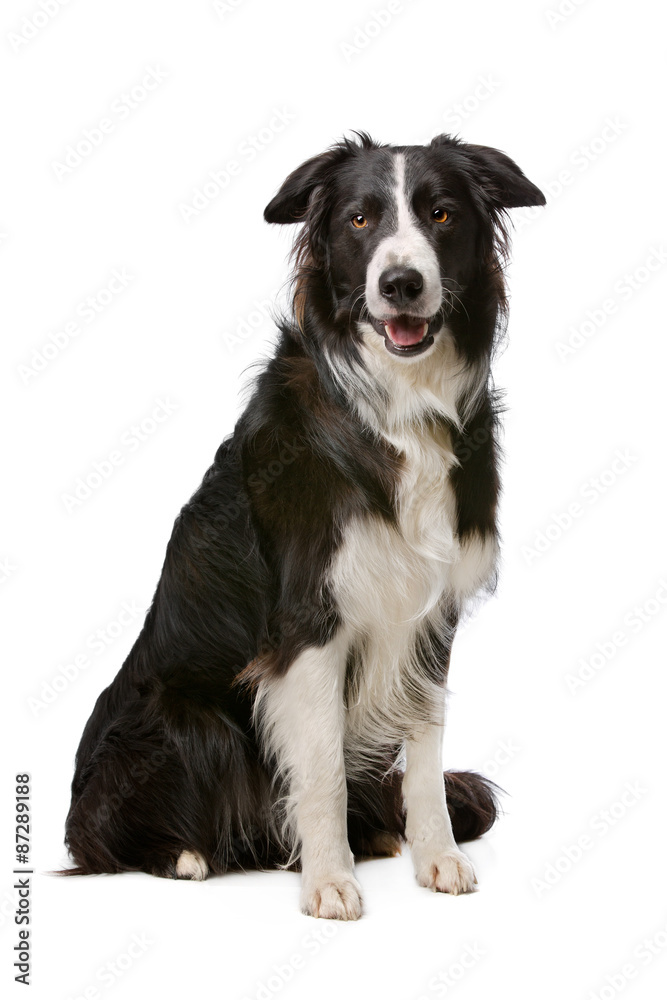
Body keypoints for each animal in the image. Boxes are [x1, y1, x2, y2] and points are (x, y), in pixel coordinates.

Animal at [62, 135, 544, 920]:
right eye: (358, 219)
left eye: (441, 214)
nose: (401, 284)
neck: (400, 407)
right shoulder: (309, 622)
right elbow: (318, 765)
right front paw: (328, 880)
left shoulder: (429, 614)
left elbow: (425, 749)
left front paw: (436, 858)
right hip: (188, 719)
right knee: (107, 837)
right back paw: (183, 854)